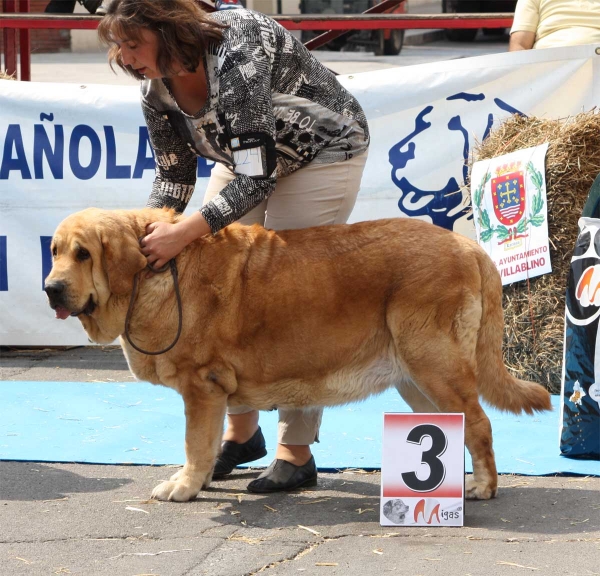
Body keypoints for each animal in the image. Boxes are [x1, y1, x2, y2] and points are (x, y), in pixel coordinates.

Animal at [44, 209, 552, 502]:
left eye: (84, 254)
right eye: (54, 251)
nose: (51, 288)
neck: (153, 272)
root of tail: (468, 245)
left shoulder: (201, 386)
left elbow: (195, 444)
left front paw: (185, 487)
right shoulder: (211, 393)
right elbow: (206, 444)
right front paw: (202, 479)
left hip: (435, 365)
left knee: (480, 423)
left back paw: (483, 487)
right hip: (416, 379)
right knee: (454, 427)